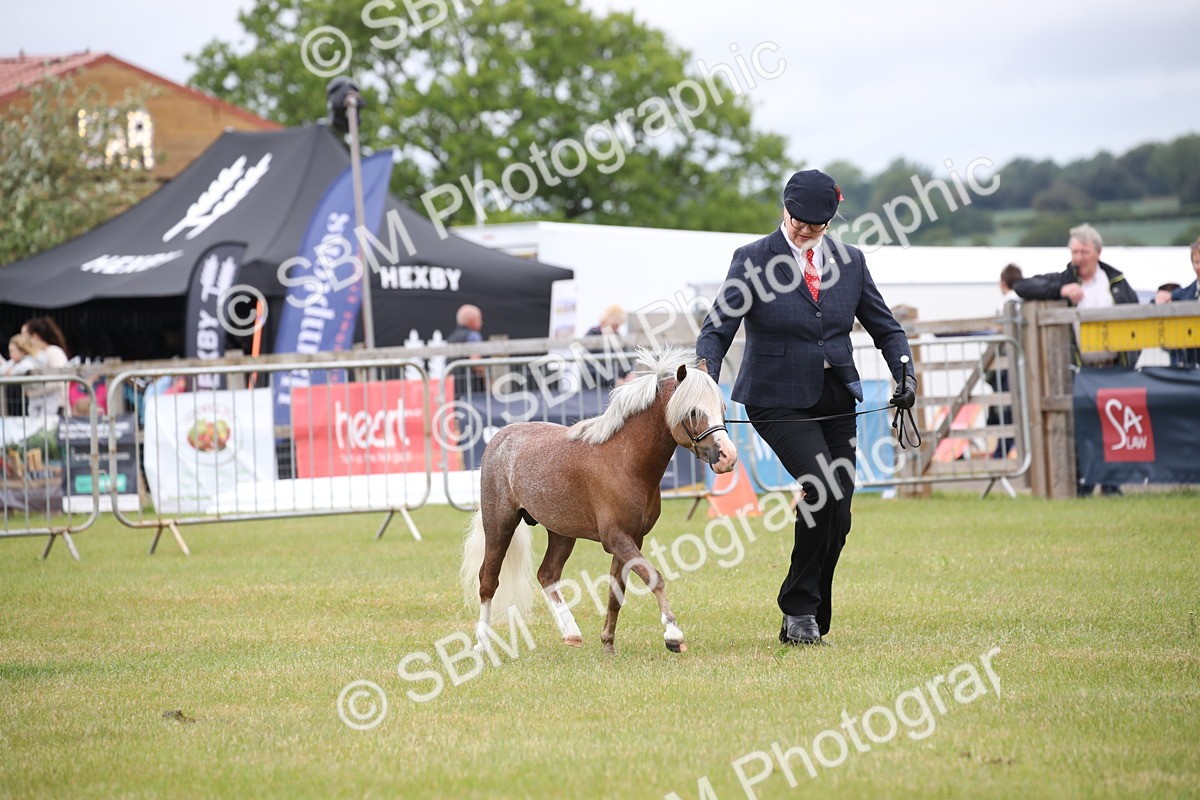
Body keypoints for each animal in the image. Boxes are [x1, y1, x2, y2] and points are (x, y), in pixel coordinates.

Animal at [460, 347, 739, 655]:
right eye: (693, 411)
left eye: (722, 409)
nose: (727, 457)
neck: (625, 461)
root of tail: (500, 438)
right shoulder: (616, 538)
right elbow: (653, 577)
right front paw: (673, 635)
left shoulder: (632, 538)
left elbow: (616, 591)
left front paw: (608, 643)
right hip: (500, 524)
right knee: (488, 580)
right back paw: (481, 644)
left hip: (561, 532)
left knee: (548, 574)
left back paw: (571, 633)